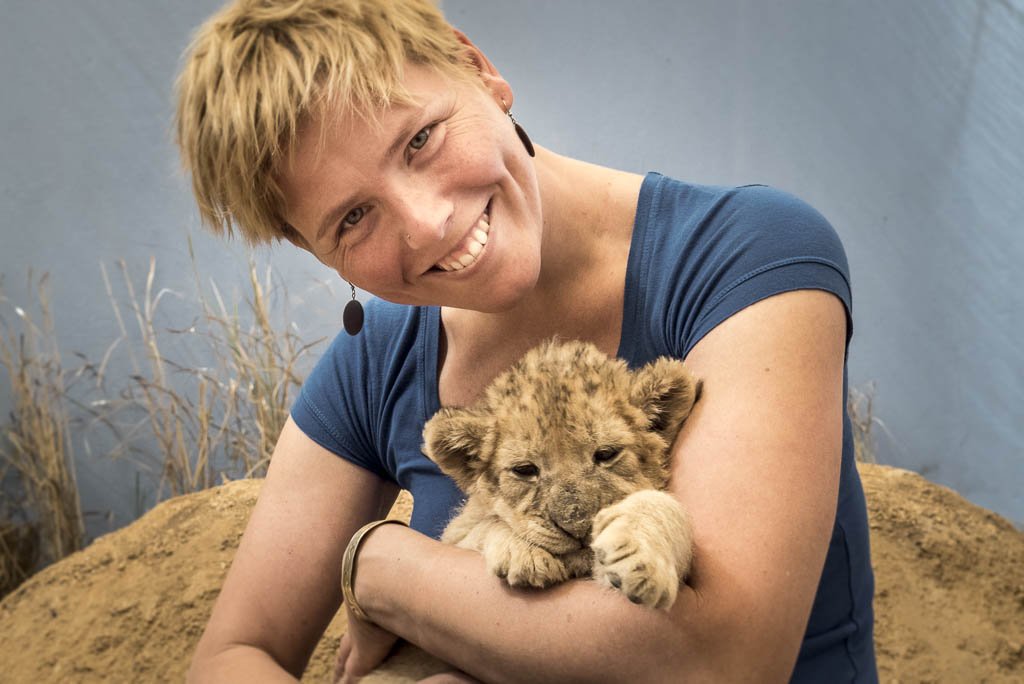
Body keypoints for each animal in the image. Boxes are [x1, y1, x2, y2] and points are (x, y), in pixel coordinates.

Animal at [350, 339, 701, 682]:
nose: (578, 526)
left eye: (606, 454)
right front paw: (525, 554)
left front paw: (639, 557)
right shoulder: (456, 534)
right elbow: (488, 523)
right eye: (524, 470)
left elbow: (661, 505)